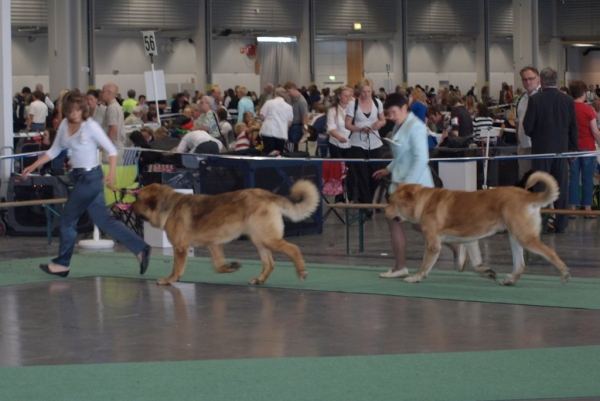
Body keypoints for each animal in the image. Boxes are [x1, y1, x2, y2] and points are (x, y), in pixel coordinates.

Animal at [131, 181, 318, 284]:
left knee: (293, 249)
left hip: (267, 239)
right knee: (269, 263)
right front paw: (230, 267)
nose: (130, 205)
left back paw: (301, 272)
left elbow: (177, 268)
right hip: (259, 241)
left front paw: (169, 280)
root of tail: (268, 195)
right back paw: (260, 279)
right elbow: (218, 266)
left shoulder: (180, 247)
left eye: (137, 199)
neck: (168, 206)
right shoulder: (213, 245)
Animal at [386, 171, 568, 284]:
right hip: (514, 238)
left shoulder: (432, 245)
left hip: (524, 236)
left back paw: (565, 274)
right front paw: (487, 271)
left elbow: (424, 265)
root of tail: (527, 195)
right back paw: (509, 280)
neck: (424, 202)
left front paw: (415, 277)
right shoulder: (469, 241)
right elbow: (475, 263)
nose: (384, 210)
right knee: (520, 265)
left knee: (551, 253)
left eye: (392, 202)